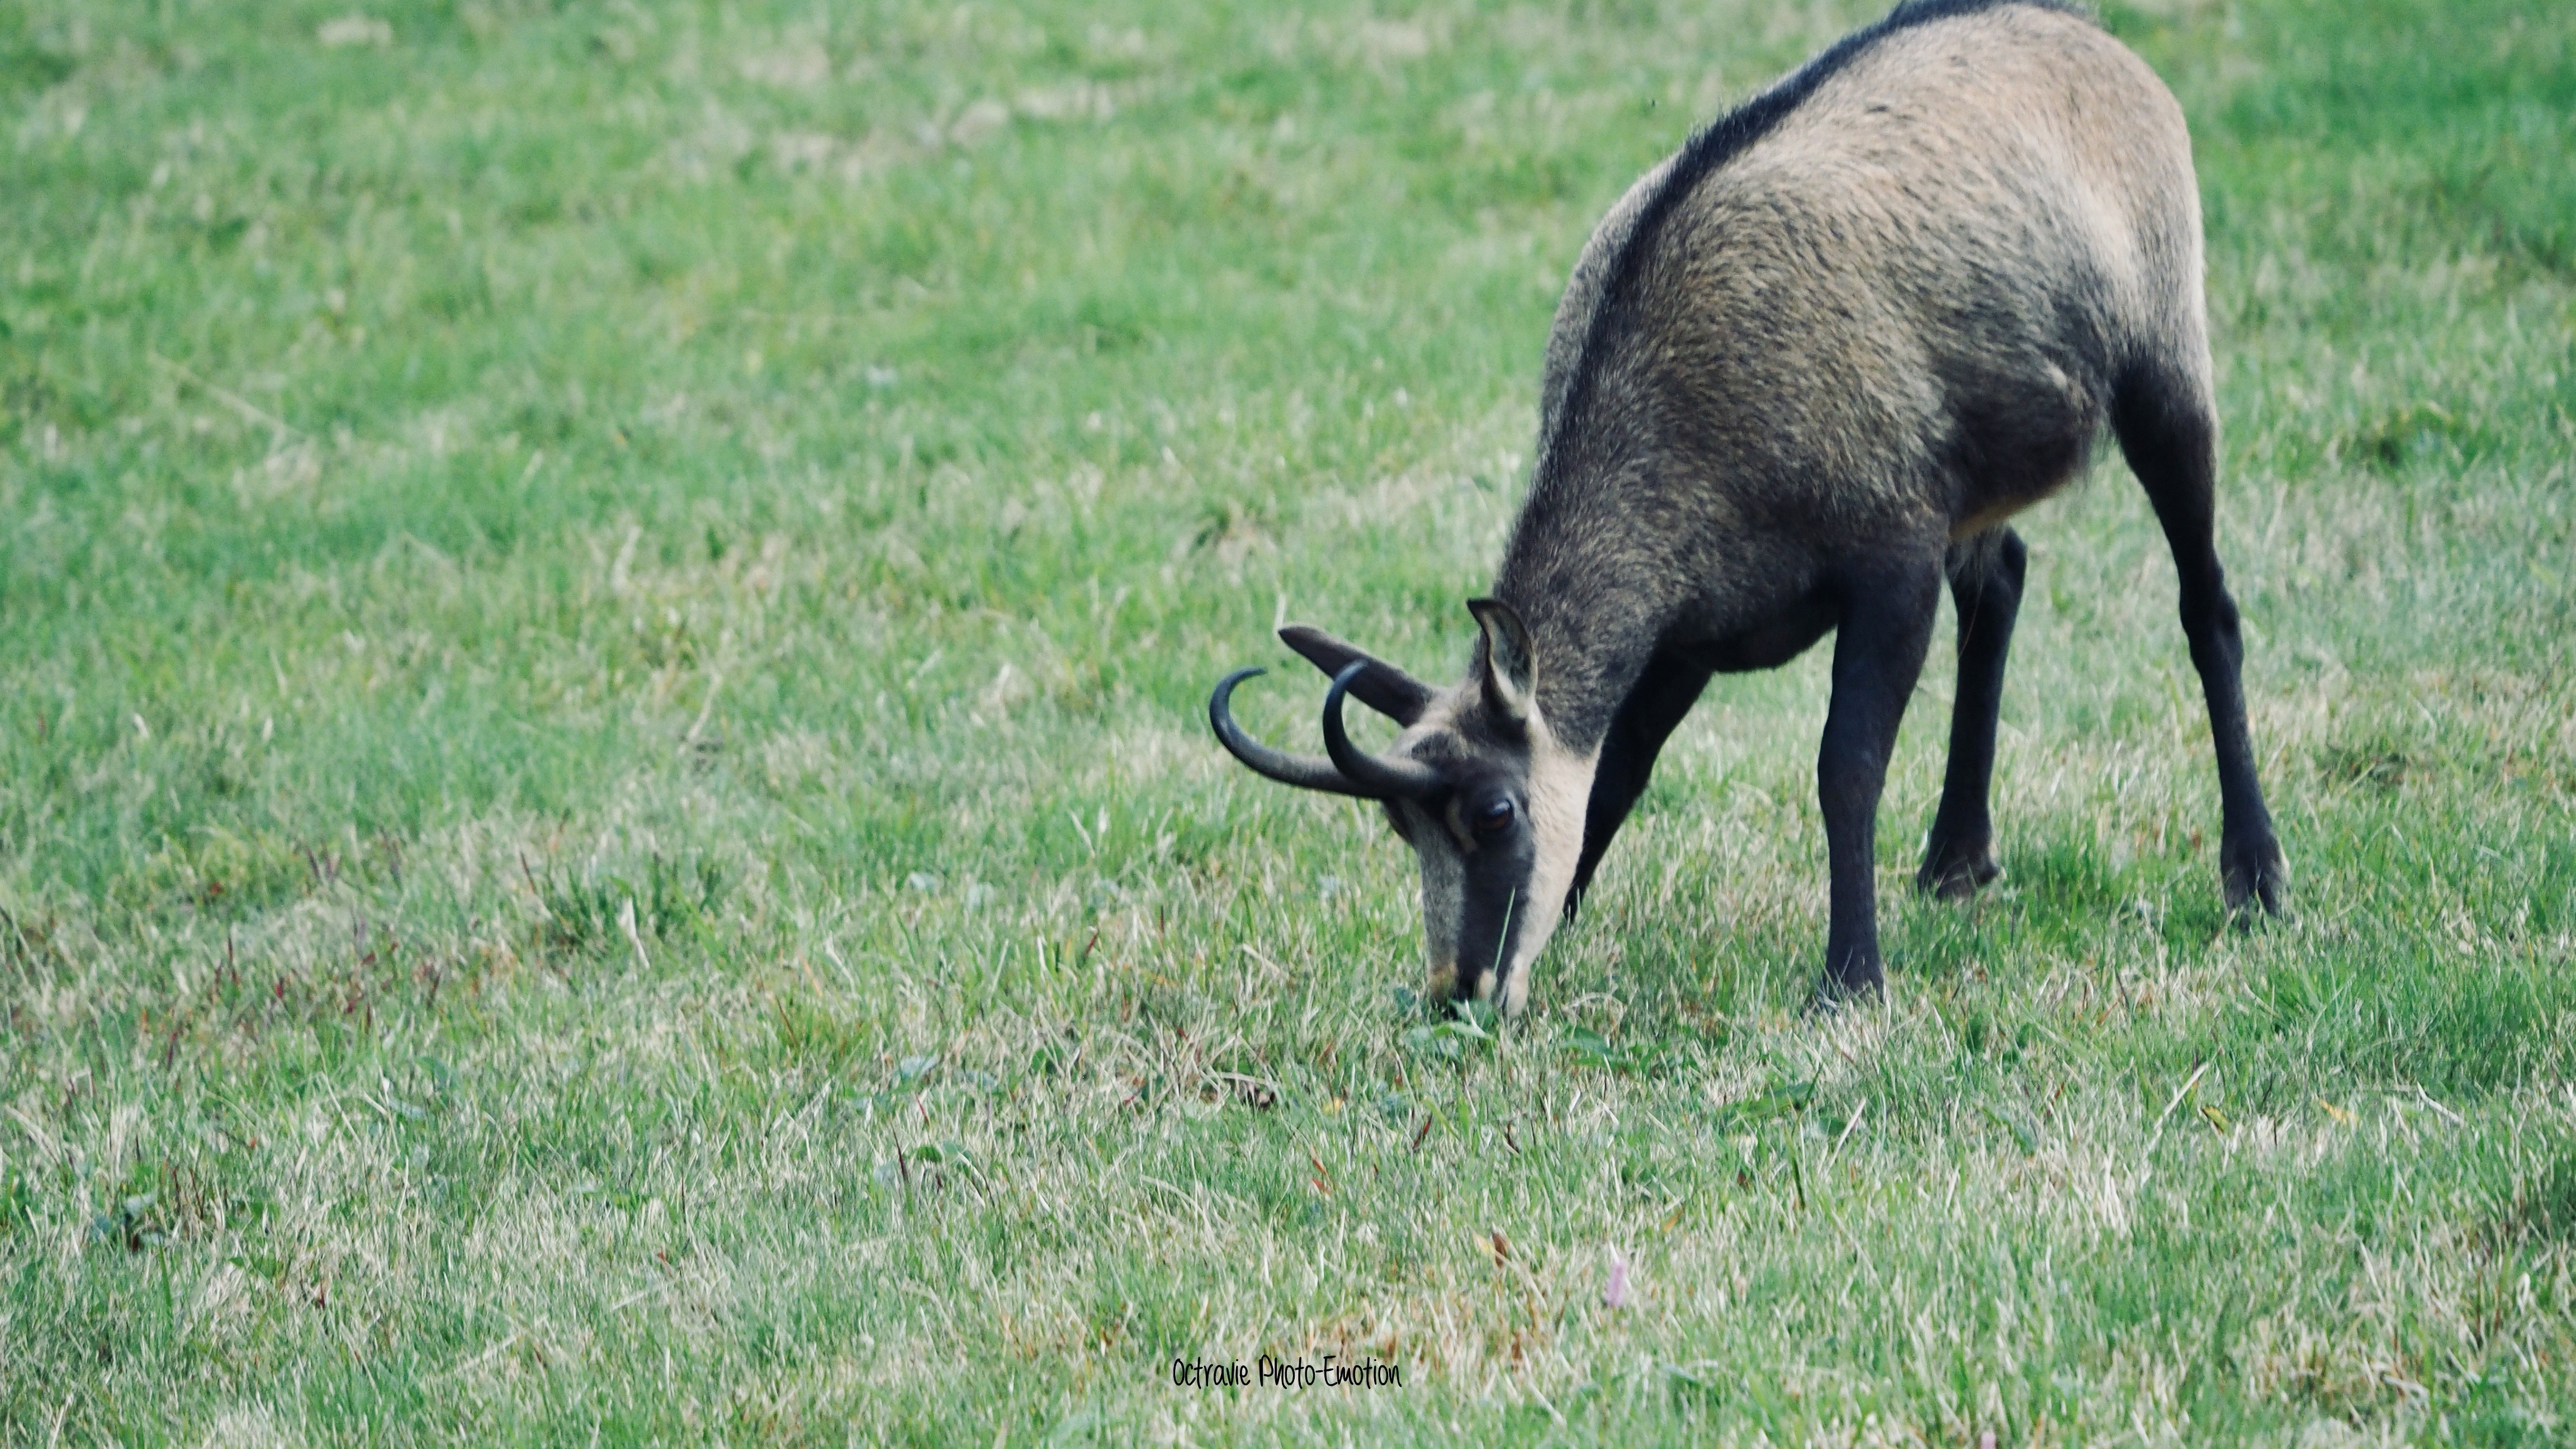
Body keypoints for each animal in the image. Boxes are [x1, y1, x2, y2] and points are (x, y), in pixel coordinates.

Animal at [1209, 0, 2285, 1012]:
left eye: (1493, 812)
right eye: (1401, 824)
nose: (1458, 993)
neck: (1683, 409)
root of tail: (2084, 36)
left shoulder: (1891, 550)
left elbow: (1845, 763)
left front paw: (1850, 979)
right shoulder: (1686, 631)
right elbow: (1620, 769)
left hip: (2162, 366)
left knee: (2207, 605)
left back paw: (2255, 875)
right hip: (1978, 472)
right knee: (2002, 582)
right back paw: (1954, 858)